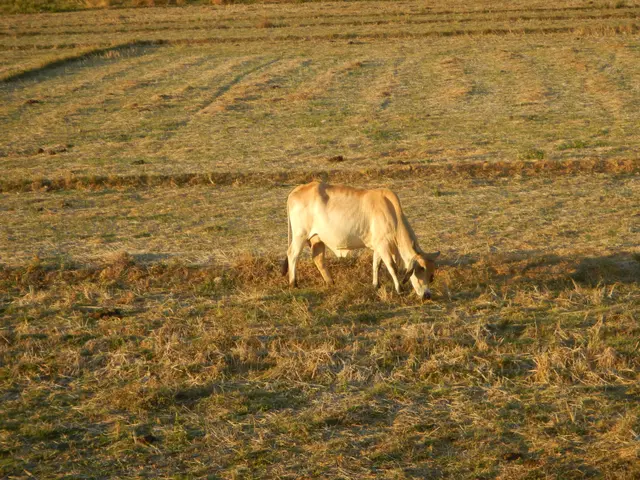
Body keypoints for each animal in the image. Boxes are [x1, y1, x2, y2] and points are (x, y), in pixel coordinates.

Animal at [281, 181, 440, 300]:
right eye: (420, 271)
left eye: (431, 276)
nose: (427, 295)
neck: (393, 215)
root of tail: (295, 192)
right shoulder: (383, 245)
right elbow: (392, 267)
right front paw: (399, 289)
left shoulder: (378, 246)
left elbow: (376, 265)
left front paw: (376, 285)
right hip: (300, 236)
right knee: (292, 254)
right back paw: (293, 283)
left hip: (317, 239)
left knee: (318, 259)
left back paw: (330, 282)